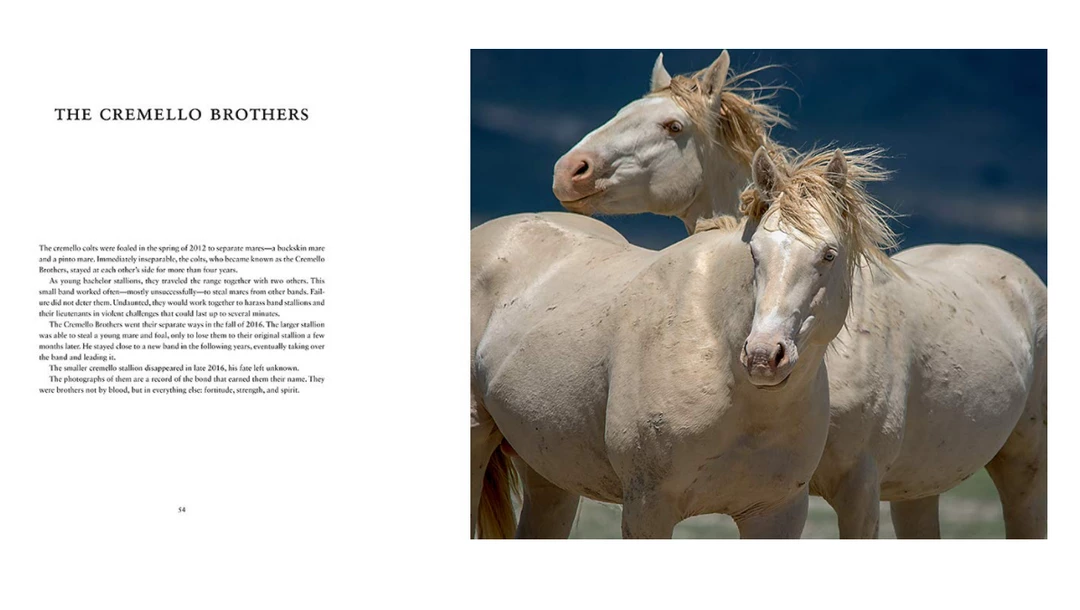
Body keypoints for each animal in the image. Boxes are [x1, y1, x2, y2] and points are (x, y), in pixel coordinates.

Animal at [472, 147, 897, 538]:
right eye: (755, 252)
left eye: (829, 254)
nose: (763, 356)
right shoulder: (648, 508)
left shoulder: (778, 513)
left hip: (549, 475)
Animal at [546, 51, 1047, 538]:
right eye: (623, 110)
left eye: (673, 126)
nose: (569, 171)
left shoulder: (858, 488)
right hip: (919, 490)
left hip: (1026, 467)